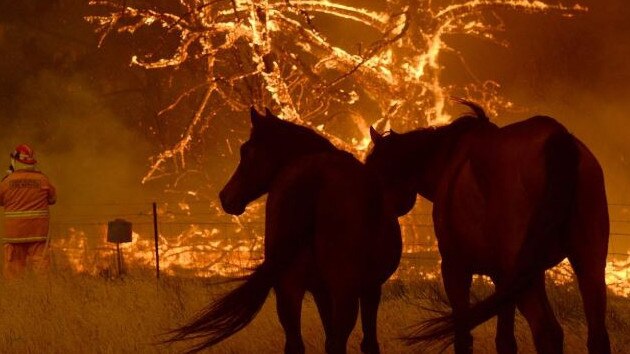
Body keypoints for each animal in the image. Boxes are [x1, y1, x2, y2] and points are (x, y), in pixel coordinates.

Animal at [168, 106, 402, 352]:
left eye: (246, 151)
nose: (225, 197)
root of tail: (315, 174)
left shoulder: (323, 290)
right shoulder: (368, 287)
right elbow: (366, 342)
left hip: (289, 288)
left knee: (297, 343)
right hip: (340, 290)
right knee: (336, 341)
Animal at [366, 100, 612, 354]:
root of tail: (557, 137)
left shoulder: (456, 268)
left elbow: (463, 336)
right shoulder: (502, 279)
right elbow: (505, 340)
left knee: (548, 332)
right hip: (587, 264)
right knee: (596, 336)